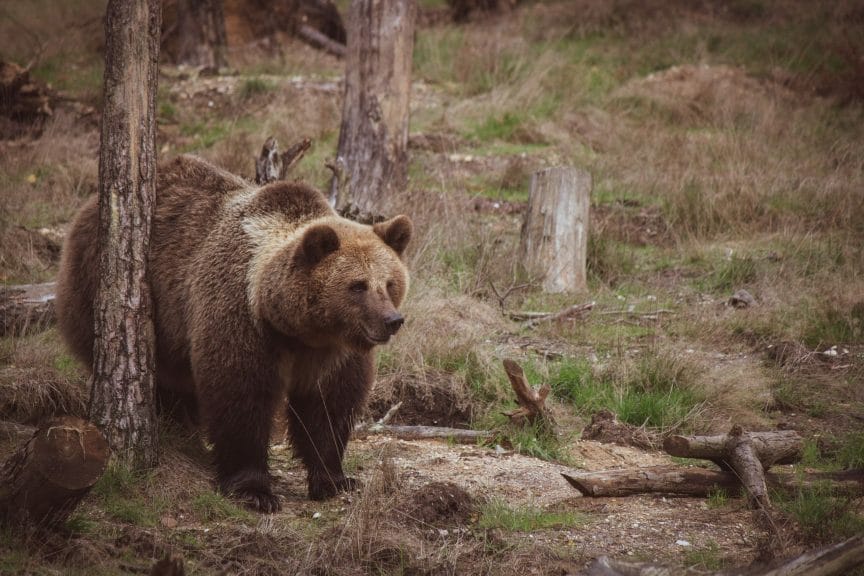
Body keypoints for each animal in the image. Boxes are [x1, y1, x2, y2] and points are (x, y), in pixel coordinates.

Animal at [55, 155, 414, 510]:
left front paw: (335, 479)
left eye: (389, 283)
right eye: (358, 286)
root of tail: (89, 207)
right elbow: (240, 395)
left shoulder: (333, 352)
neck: (297, 329)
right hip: (105, 289)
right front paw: (254, 490)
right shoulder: (241, 319)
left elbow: (329, 406)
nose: (392, 320)